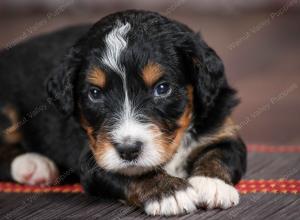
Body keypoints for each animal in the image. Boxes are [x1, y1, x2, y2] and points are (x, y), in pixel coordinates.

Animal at [0, 9, 246, 215]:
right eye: (95, 93)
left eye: (162, 88)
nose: (128, 150)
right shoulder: (94, 157)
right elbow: (132, 172)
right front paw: (169, 192)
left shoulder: (222, 125)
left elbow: (221, 154)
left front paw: (211, 184)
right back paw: (33, 165)